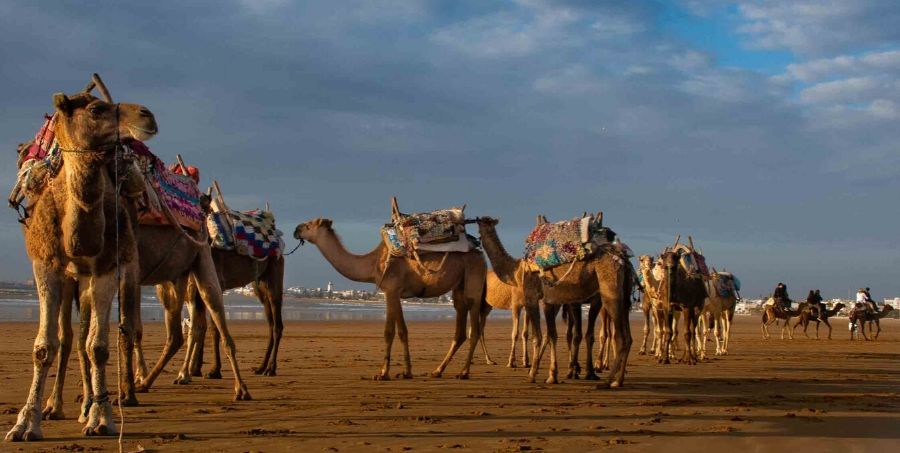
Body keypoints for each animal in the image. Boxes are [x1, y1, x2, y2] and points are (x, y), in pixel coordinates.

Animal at [6, 75, 154, 442]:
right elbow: (45, 346)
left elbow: (97, 346)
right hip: (70, 279)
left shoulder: (106, 267)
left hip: (91, 277)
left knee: (85, 332)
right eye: (96, 108)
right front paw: (26, 422)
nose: (147, 116)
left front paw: (101, 417)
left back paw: (87, 405)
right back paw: (55, 406)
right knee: (67, 336)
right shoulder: (45, 265)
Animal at [294, 217, 486, 380]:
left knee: (475, 328)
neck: (372, 264)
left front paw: (383, 373)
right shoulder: (395, 292)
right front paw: (406, 372)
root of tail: (480, 255)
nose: (296, 230)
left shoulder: (390, 290)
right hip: (459, 287)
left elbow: (389, 331)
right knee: (460, 328)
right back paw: (437, 371)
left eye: (309, 225)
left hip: (474, 280)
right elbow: (402, 331)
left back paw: (463, 372)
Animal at [472, 217, 632, 386]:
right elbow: (552, 335)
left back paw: (608, 381)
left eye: (483, 222)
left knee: (619, 336)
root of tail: (622, 259)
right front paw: (552, 375)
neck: (516, 270)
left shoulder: (531, 298)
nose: (477, 222)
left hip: (609, 290)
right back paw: (615, 379)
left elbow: (537, 337)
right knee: (625, 336)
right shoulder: (549, 301)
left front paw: (532, 374)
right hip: (622, 296)